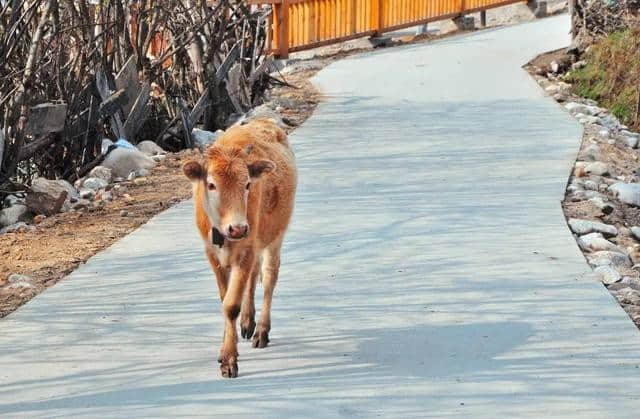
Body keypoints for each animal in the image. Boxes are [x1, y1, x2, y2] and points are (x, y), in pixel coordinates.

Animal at [182, 120, 298, 378]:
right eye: (211, 184)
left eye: (247, 184)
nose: (238, 228)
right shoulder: (212, 254)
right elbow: (225, 298)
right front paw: (225, 348)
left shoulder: (246, 251)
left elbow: (231, 305)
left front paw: (229, 360)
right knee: (253, 278)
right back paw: (247, 322)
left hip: (275, 238)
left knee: (268, 277)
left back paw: (261, 331)